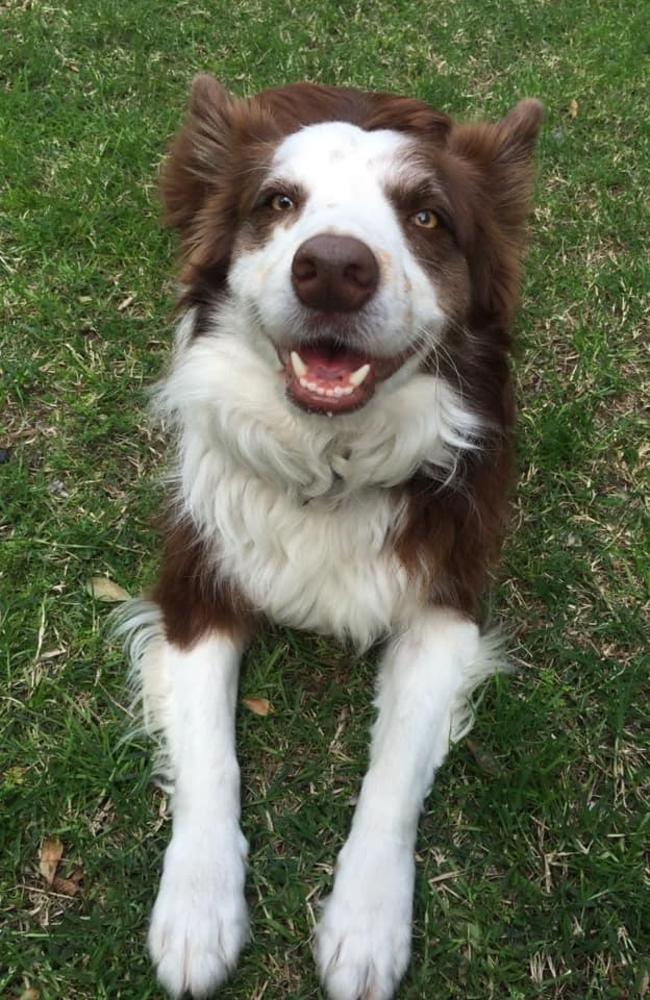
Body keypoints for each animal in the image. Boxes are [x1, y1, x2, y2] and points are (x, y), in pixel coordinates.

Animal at [117, 78, 540, 1000]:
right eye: (280, 203)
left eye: (426, 217)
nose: (336, 269)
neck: (328, 460)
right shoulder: (196, 586)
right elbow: (210, 759)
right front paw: (197, 916)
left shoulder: (446, 603)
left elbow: (393, 776)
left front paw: (366, 928)